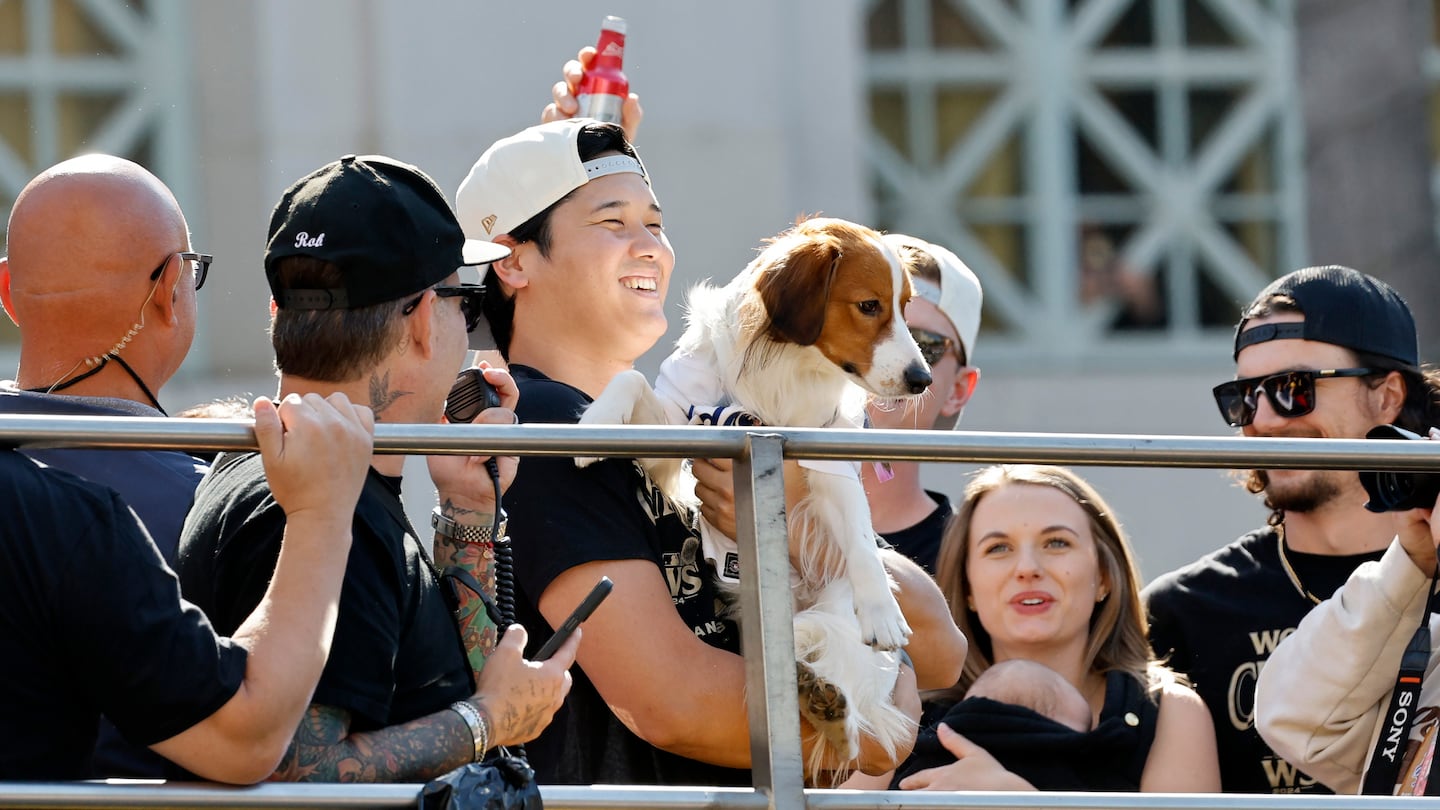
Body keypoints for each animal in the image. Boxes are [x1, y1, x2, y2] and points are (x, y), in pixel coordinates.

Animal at [576, 216, 927, 784]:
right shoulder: (678, 436)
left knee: (849, 712)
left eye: (906, 306)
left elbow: (859, 540)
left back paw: (827, 702)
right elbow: (628, 378)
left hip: (835, 607)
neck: (788, 365)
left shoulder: (831, 461)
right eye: (870, 305)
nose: (923, 379)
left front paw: (882, 611)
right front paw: (598, 421)